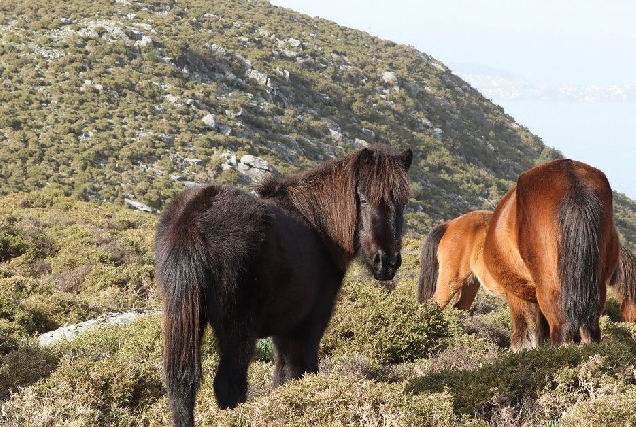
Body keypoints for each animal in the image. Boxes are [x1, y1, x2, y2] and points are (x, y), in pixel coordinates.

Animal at [154, 145, 412, 426]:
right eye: (363, 199)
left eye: (403, 203)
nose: (386, 262)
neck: (318, 226)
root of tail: (193, 219)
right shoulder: (310, 322)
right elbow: (303, 369)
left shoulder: (284, 329)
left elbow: (282, 376)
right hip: (238, 330)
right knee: (229, 385)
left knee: (181, 384)